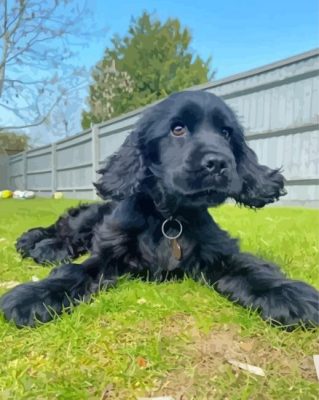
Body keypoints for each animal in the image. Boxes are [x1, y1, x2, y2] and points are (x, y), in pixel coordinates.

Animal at [1, 91, 318, 328]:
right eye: (177, 129)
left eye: (227, 133)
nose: (219, 163)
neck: (170, 217)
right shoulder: (108, 253)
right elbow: (74, 271)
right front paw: (33, 296)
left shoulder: (218, 253)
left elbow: (251, 268)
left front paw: (288, 294)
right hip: (90, 216)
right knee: (63, 228)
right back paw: (41, 245)